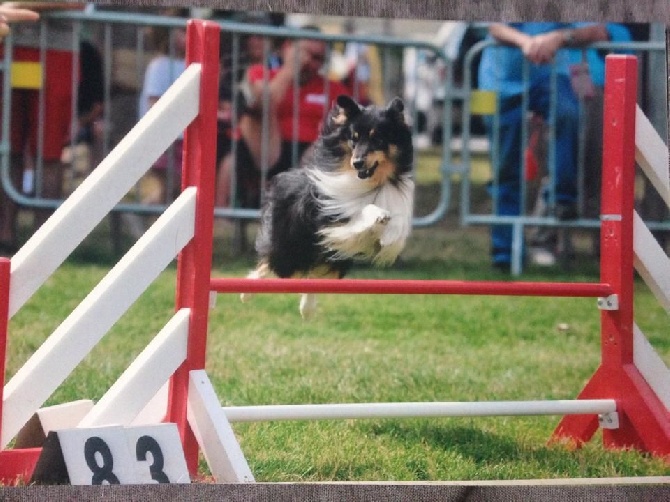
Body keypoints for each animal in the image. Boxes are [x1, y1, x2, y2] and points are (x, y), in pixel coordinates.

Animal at [244, 95, 418, 318]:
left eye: (377, 139)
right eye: (353, 139)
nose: (357, 163)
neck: (369, 183)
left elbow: (391, 234)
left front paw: (388, 233)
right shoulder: (329, 219)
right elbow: (360, 211)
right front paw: (378, 215)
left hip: (335, 261)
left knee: (313, 276)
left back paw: (307, 309)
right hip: (291, 248)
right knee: (272, 264)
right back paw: (247, 291)